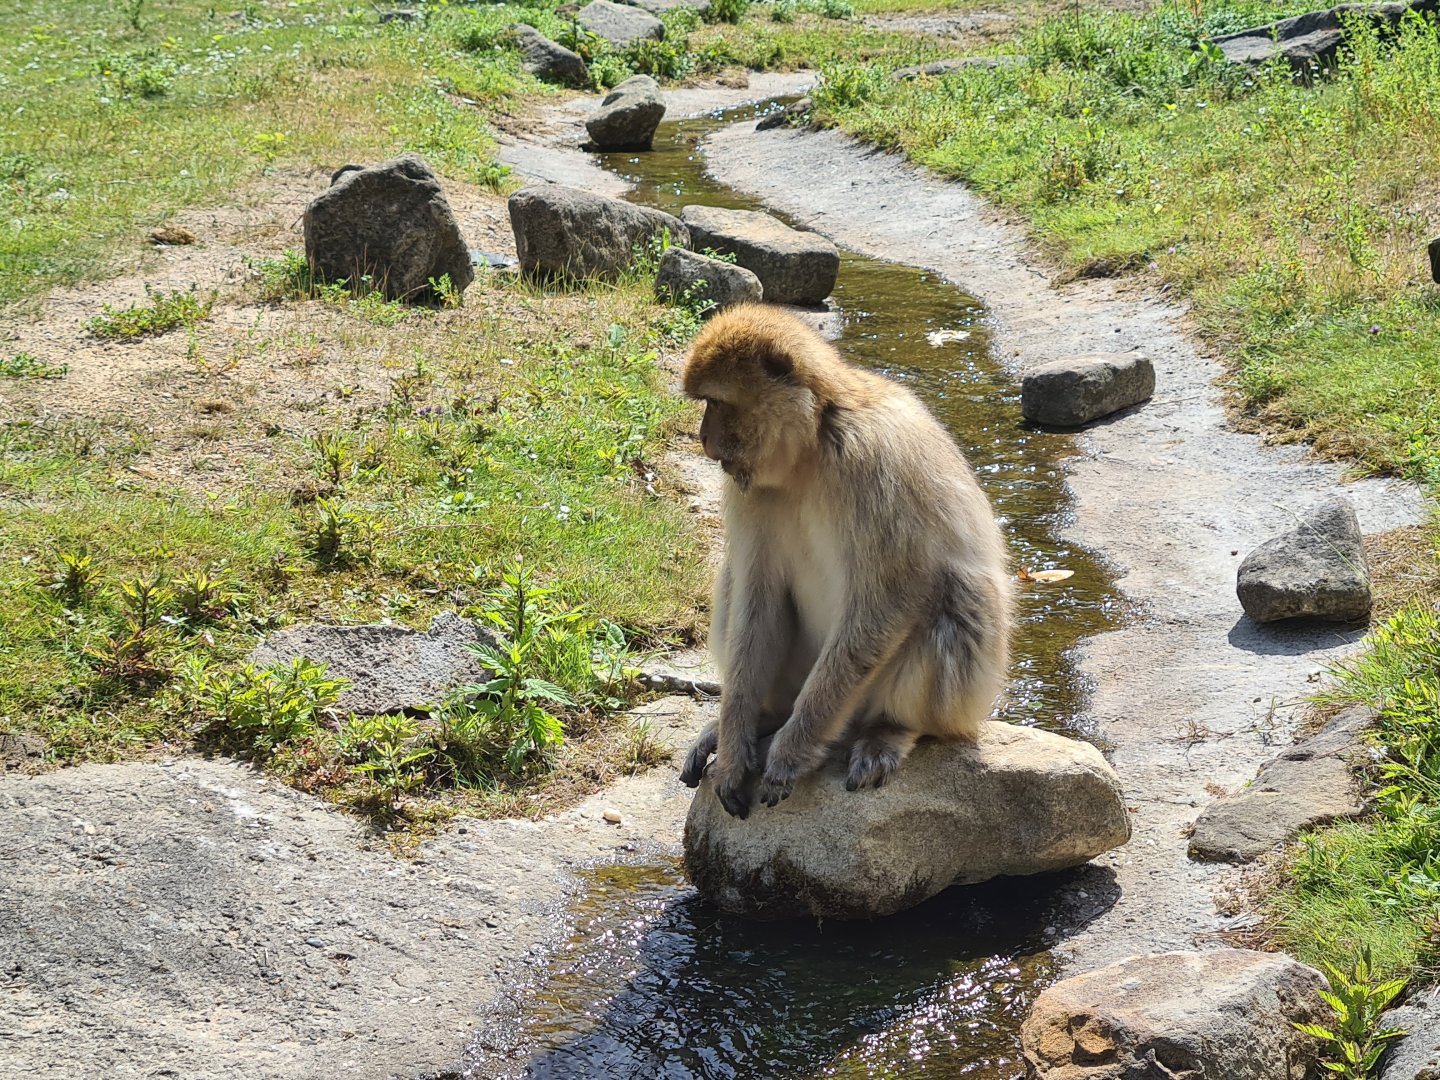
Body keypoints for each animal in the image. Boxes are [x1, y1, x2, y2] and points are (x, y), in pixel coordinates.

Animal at [676, 303, 1013, 820]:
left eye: (716, 402)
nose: (704, 440)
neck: (810, 451)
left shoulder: (873, 462)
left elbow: (891, 600)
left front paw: (791, 753)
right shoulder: (748, 490)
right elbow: (758, 597)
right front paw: (735, 749)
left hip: (909, 701)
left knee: (959, 593)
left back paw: (889, 729)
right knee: (733, 578)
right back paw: (766, 717)